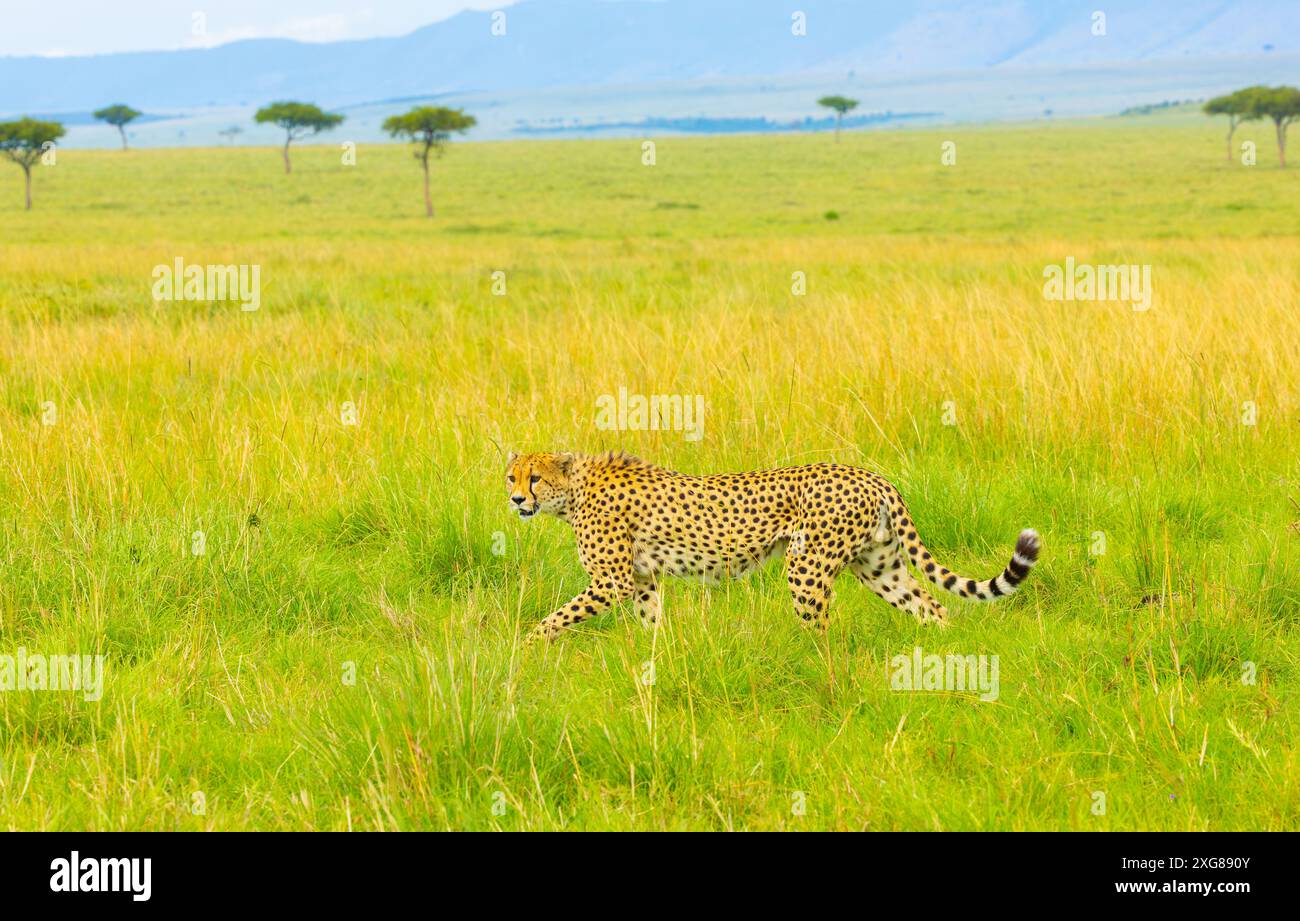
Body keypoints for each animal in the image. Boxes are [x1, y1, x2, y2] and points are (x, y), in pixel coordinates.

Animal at [501, 452, 1040, 640]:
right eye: (512, 475)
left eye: (534, 477)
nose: (515, 499)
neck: (573, 491)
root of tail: (869, 473)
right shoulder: (642, 578)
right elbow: (652, 622)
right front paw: (658, 658)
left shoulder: (611, 581)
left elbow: (557, 616)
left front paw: (527, 646)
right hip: (878, 566)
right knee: (931, 605)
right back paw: (945, 654)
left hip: (806, 564)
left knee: (822, 630)